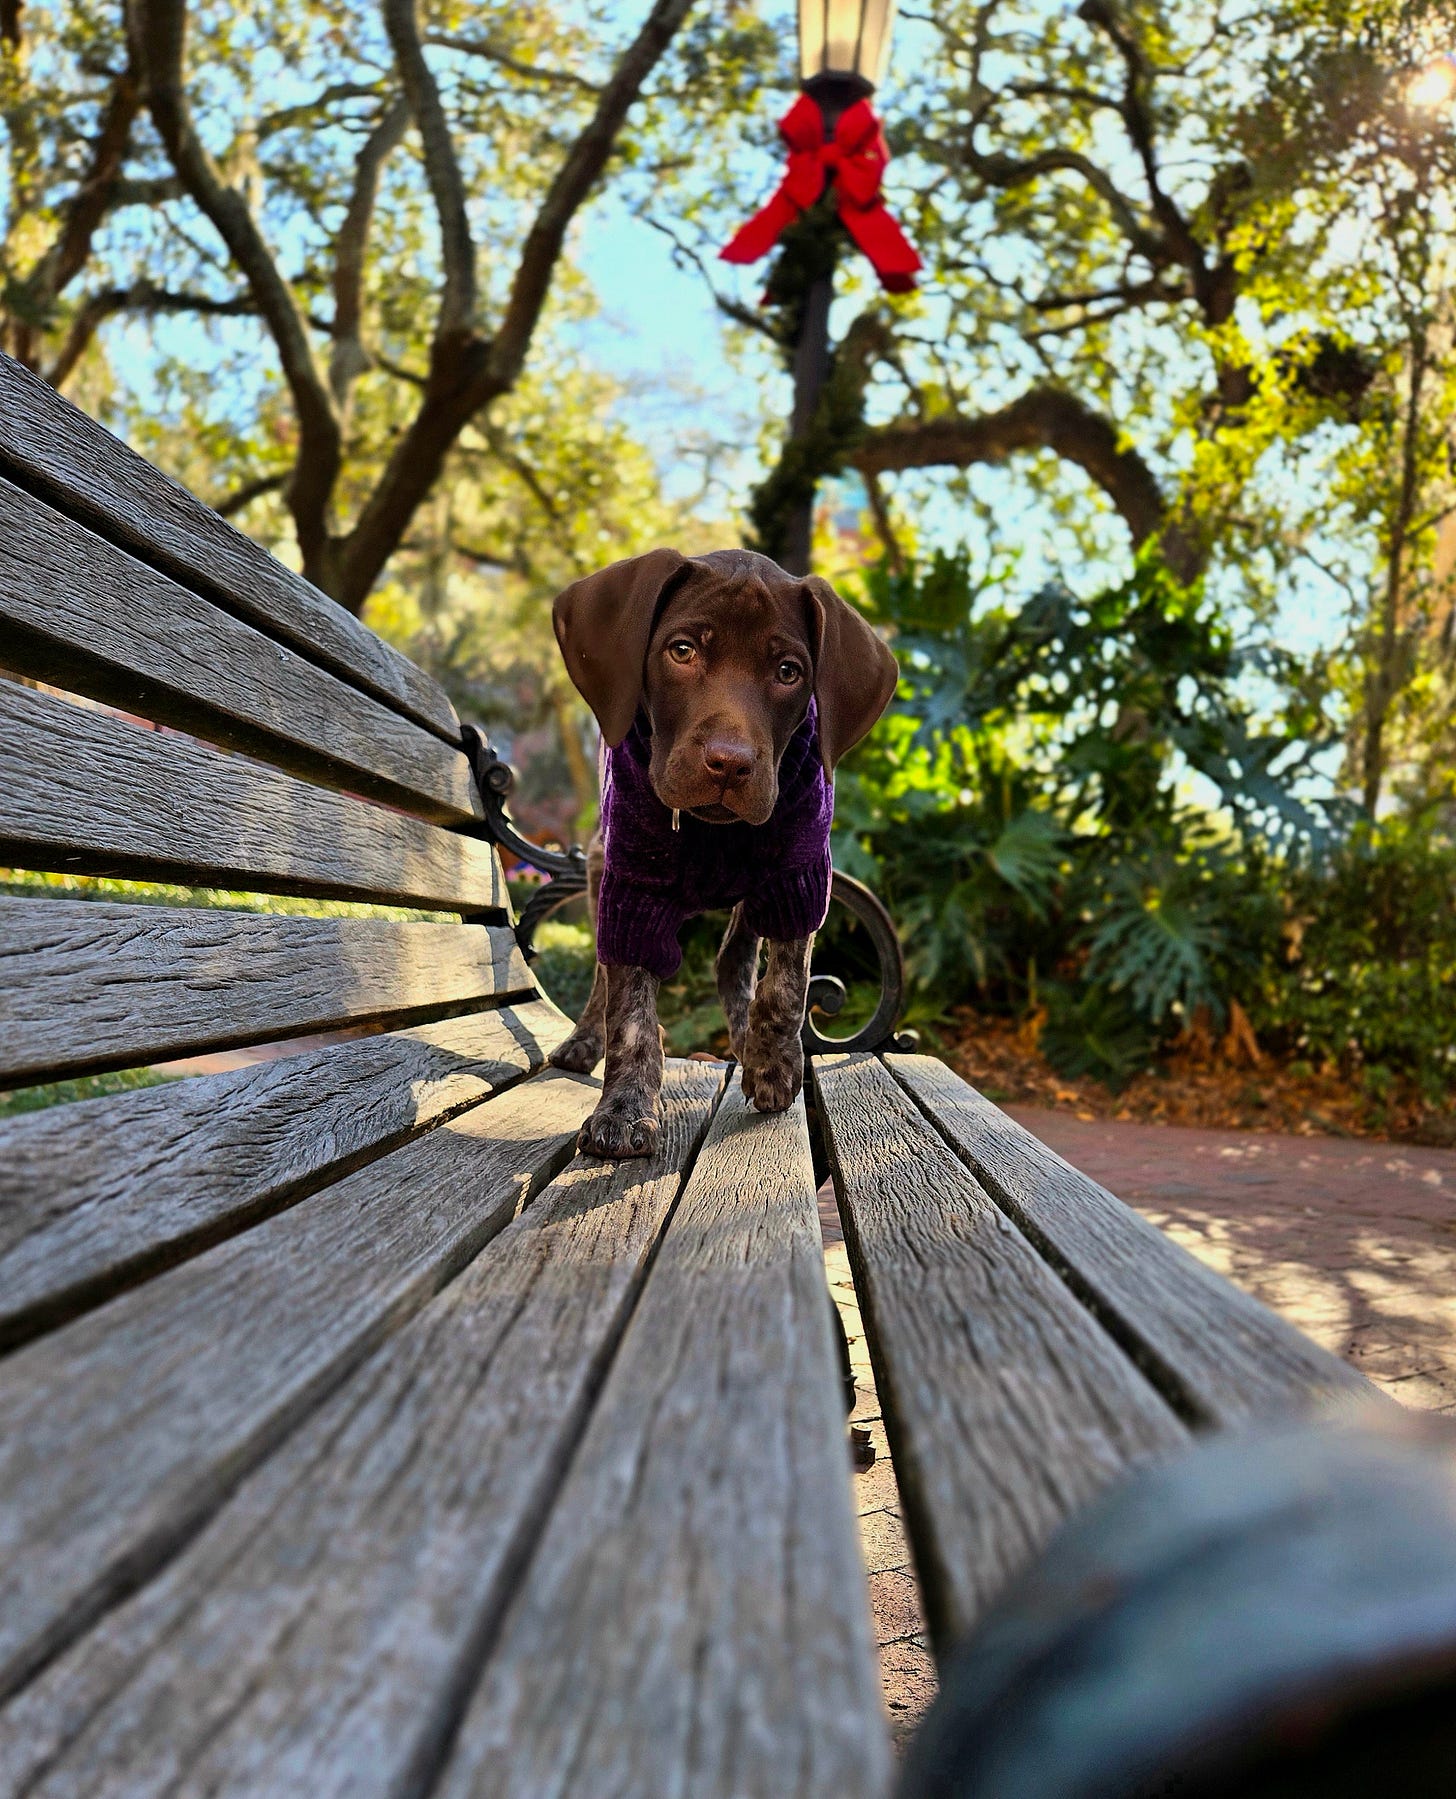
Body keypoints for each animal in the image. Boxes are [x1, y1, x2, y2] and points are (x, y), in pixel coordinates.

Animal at [547, 546, 892, 1158]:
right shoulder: (630, 887)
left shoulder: (798, 876)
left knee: (733, 957)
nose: (730, 764)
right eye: (682, 651)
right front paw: (624, 1107)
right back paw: (584, 1039)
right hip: (597, 864)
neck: (712, 829)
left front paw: (773, 1065)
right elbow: (628, 1004)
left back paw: (745, 1038)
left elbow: (786, 986)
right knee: (602, 977)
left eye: (788, 672)